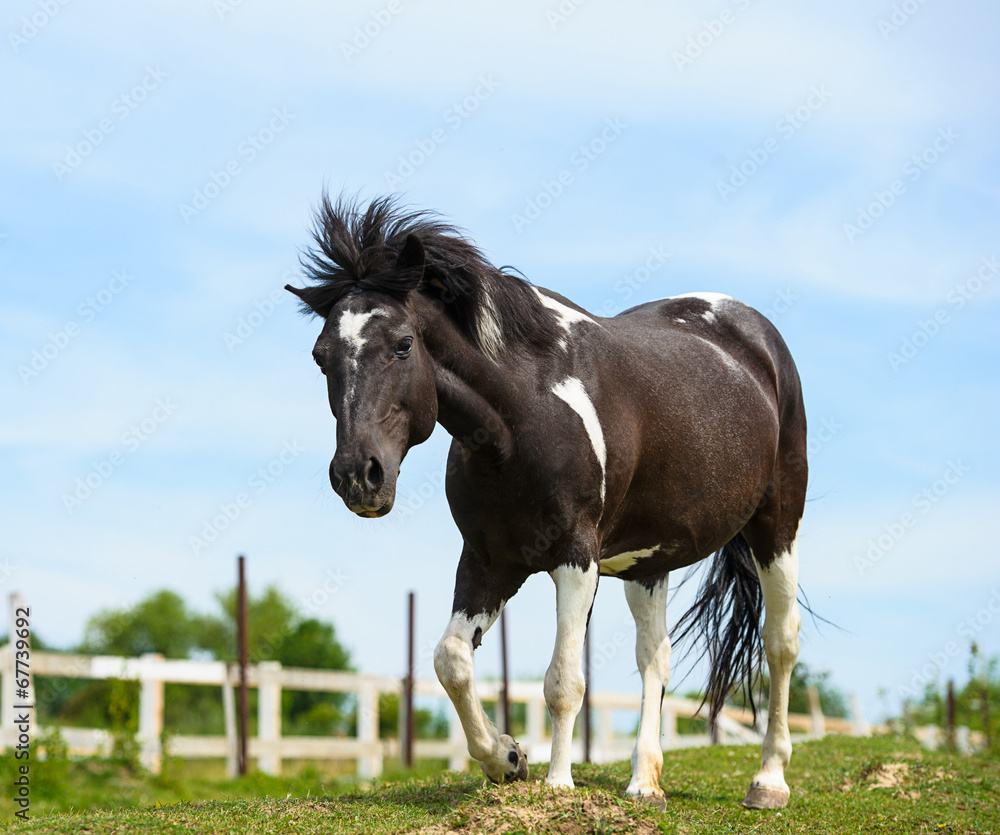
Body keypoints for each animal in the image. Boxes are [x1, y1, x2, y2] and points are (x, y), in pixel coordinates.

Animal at [286, 195, 808, 810]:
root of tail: (755, 334)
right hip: (647, 563)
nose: (357, 476)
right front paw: (506, 758)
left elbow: (564, 681)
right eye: (321, 356)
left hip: (777, 526)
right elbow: (451, 660)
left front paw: (558, 782)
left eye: (403, 344)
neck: (520, 419)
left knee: (780, 643)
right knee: (654, 657)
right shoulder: (489, 560)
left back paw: (769, 781)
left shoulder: (575, 558)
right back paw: (644, 782)